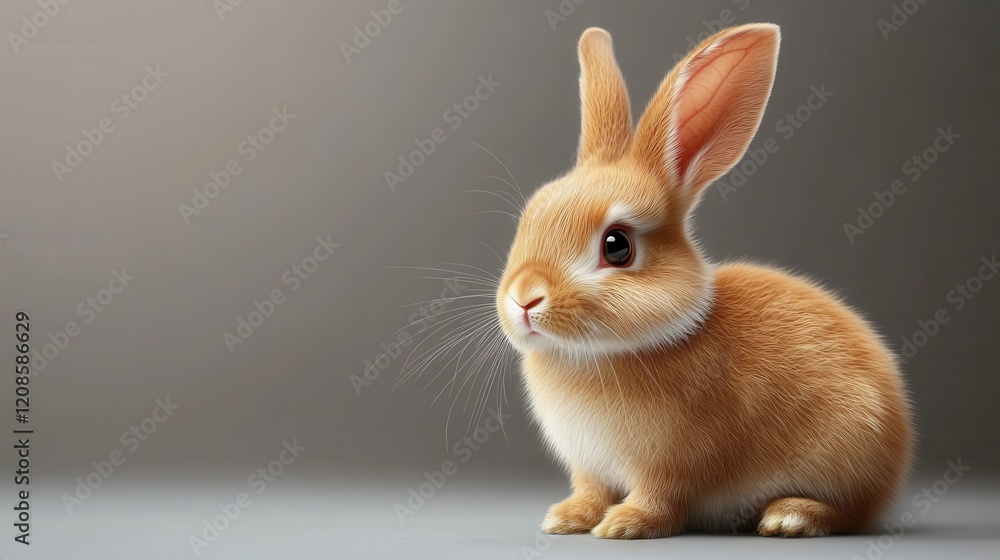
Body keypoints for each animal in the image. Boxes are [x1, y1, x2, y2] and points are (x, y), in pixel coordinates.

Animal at [495, 23, 913, 539]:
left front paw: (625, 525)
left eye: (617, 245)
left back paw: (790, 517)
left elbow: (661, 497)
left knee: (854, 515)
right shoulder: (588, 465)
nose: (524, 299)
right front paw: (567, 518)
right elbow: (590, 489)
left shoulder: (672, 463)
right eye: (530, 217)